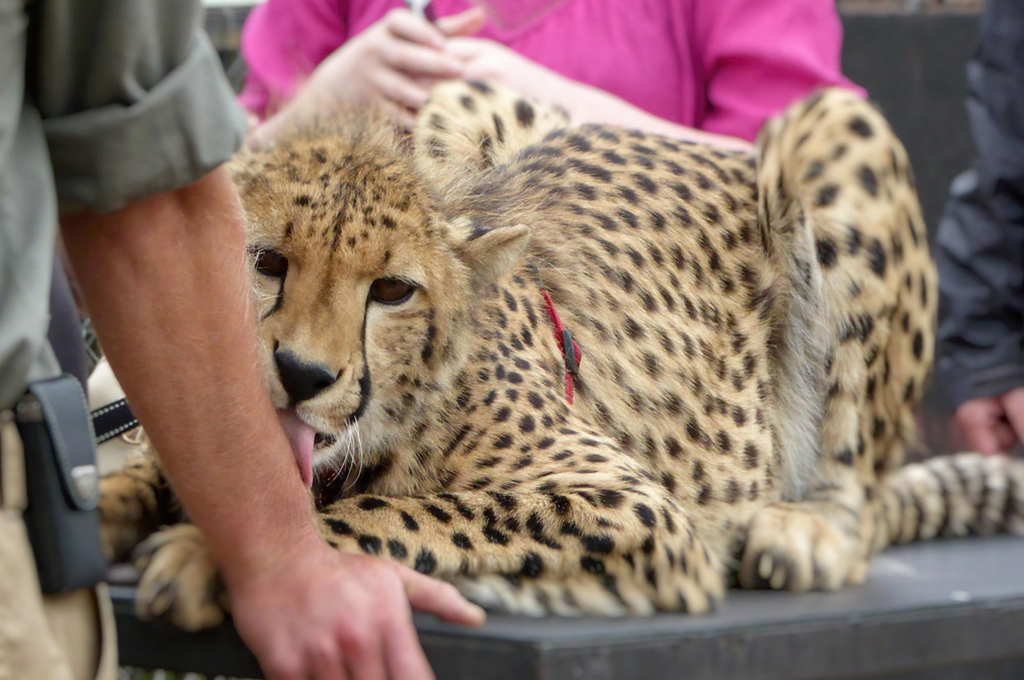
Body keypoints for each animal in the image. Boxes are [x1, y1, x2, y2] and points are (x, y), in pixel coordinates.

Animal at [99, 80, 1024, 630]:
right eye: (266, 262)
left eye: (392, 291)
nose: (301, 376)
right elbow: (161, 467)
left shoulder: (637, 509)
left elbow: (404, 515)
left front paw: (220, 558)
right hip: (467, 96)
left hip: (829, 128)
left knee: (854, 481)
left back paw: (807, 530)